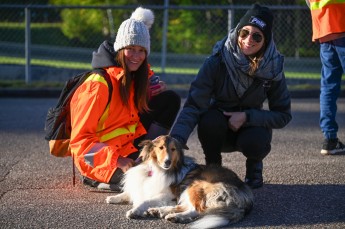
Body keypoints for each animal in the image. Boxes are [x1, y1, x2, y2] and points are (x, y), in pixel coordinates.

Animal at [105, 135, 253, 228]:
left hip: (195, 186)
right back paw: (159, 211)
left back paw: (175, 217)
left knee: (197, 210)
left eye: (173, 149)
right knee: (186, 206)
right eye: (161, 148)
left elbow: (145, 201)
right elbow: (131, 192)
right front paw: (113, 197)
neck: (157, 168)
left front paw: (134, 211)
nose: (167, 162)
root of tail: (245, 195)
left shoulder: (168, 194)